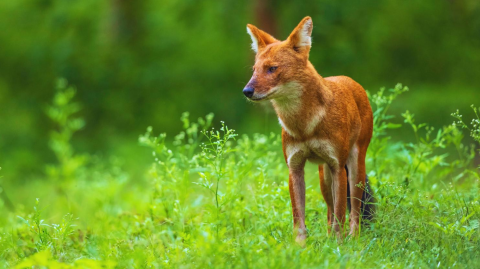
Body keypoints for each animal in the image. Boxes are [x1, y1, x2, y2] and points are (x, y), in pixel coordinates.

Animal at [244, 16, 376, 242]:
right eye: (254, 70)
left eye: (272, 68)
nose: (247, 90)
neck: (304, 125)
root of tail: (351, 81)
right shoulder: (294, 166)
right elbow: (299, 217)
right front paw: (300, 247)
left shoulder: (337, 166)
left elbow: (342, 213)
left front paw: (340, 246)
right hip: (324, 177)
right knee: (330, 212)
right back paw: (328, 239)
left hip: (353, 168)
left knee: (354, 211)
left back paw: (353, 238)